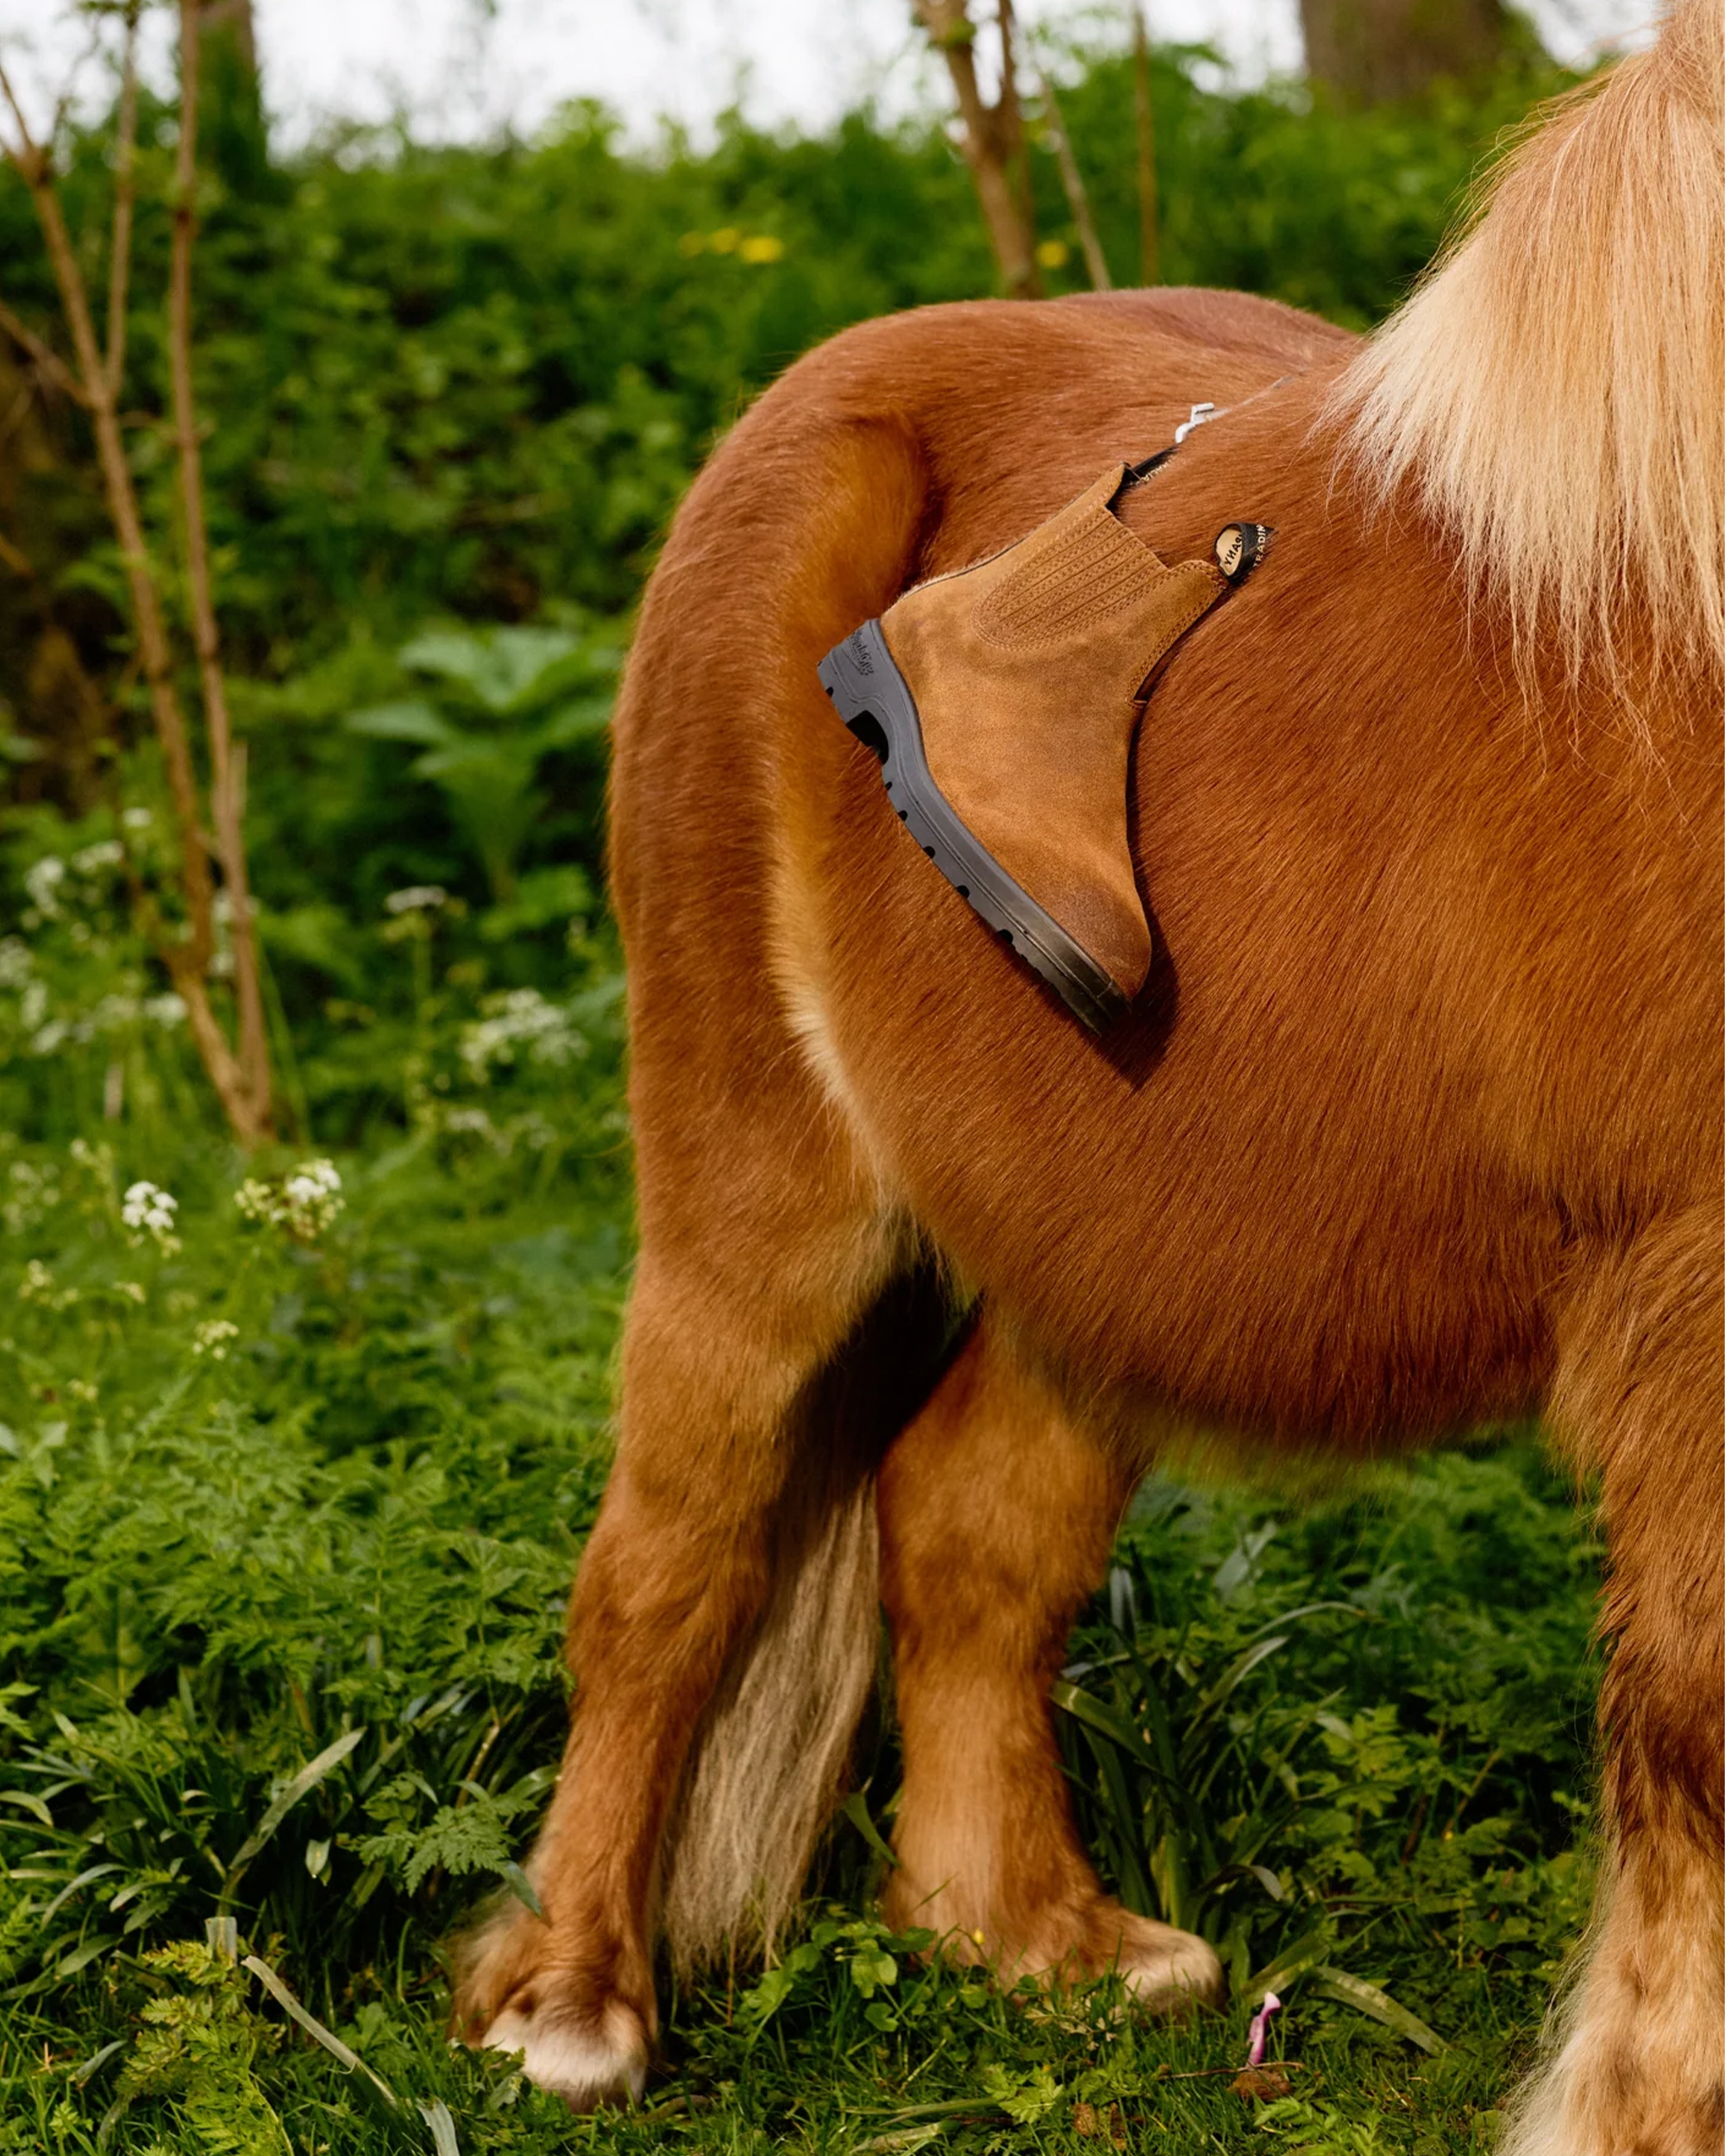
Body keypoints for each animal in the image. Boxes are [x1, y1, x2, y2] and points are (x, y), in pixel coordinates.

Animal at [455, 6, 1724, 2149]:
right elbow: (1700, 1724)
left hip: (1096, 1239)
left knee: (970, 1529)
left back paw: (1030, 1938)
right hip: (755, 1185)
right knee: (664, 1564)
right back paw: (572, 2001)